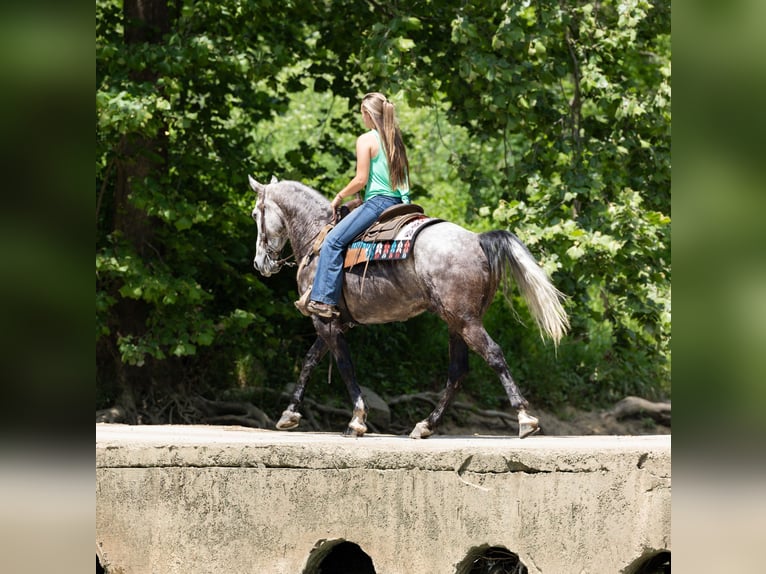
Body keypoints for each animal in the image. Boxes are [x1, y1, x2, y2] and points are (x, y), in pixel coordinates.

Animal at [249, 176, 569, 439]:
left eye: (255, 214)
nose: (260, 263)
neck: (318, 236)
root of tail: (477, 239)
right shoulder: (333, 322)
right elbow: (310, 360)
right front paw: (290, 413)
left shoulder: (324, 321)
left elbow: (344, 366)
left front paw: (357, 419)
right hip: (456, 322)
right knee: (458, 371)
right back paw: (426, 424)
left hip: (466, 321)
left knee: (493, 355)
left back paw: (524, 418)